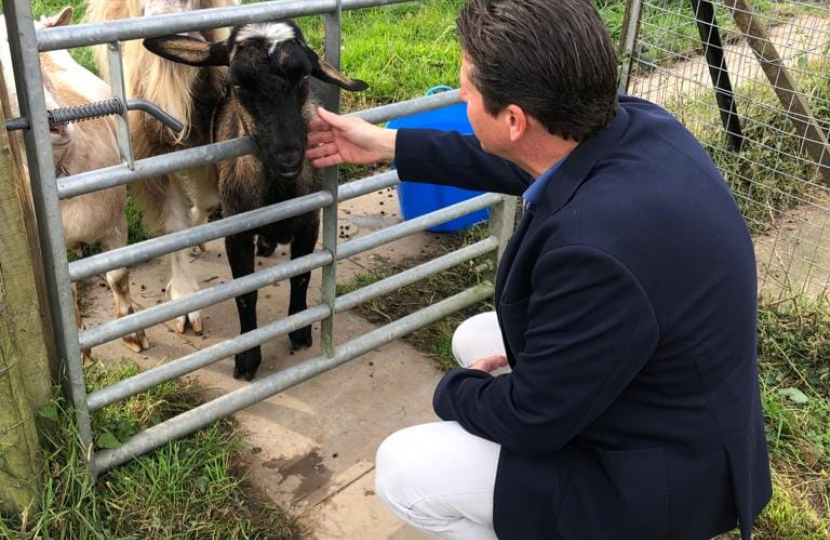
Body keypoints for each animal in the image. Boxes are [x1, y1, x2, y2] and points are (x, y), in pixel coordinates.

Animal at [145, 20, 368, 376]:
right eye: (237, 82)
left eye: (304, 76)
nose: (289, 156)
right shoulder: (236, 233)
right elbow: (245, 294)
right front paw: (248, 358)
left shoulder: (309, 223)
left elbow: (301, 276)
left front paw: (300, 331)